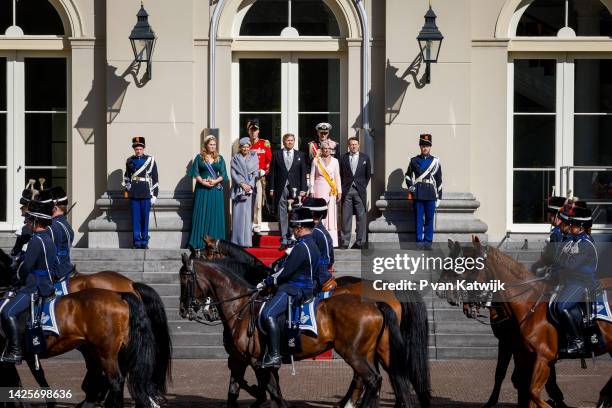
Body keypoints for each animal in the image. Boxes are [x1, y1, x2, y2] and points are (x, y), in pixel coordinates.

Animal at [438, 237, 608, 408]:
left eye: (465, 266)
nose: (441, 292)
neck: (528, 305)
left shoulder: (534, 353)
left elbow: (527, 386)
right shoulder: (515, 347)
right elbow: (514, 379)